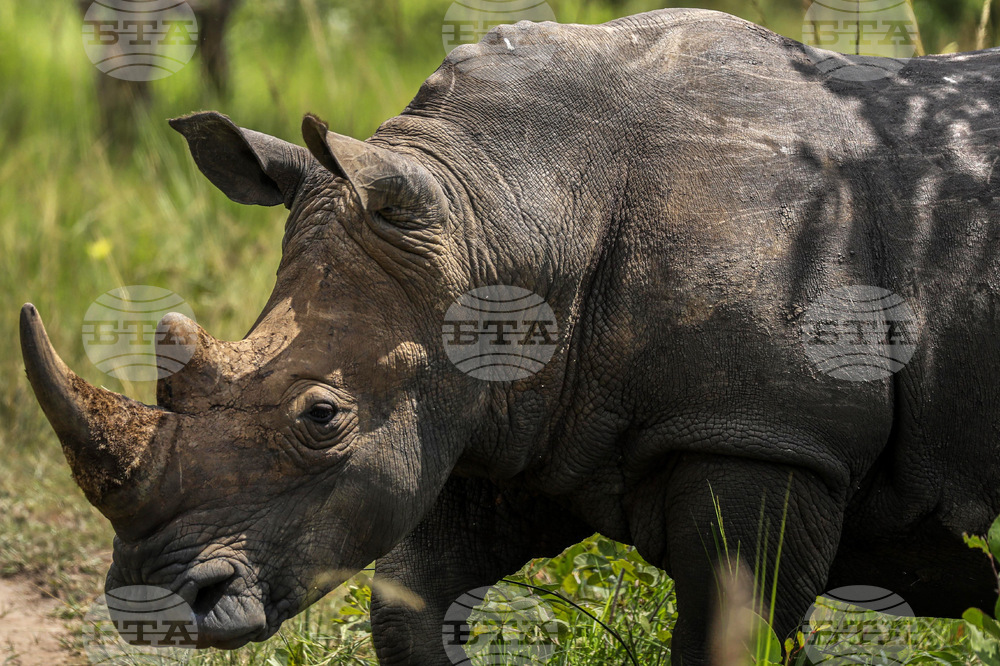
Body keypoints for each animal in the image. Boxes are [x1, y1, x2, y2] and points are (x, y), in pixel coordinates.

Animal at [20, 7, 1000, 664]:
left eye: (321, 417)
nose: (151, 605)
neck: (502, 206)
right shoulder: (515, 402)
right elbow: (408, 601)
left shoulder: (766, 431)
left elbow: (728, 631)